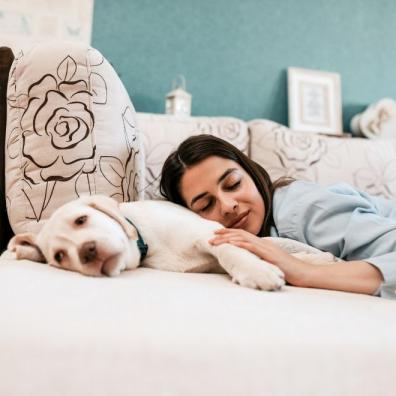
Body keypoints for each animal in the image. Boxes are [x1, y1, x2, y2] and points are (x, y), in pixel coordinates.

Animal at [7, 195, 336, 290]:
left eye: (81, 220)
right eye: (60, 257)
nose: (87, 253)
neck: (147, 240)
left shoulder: (211, 234)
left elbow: (231, 251)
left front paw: (257, 273)